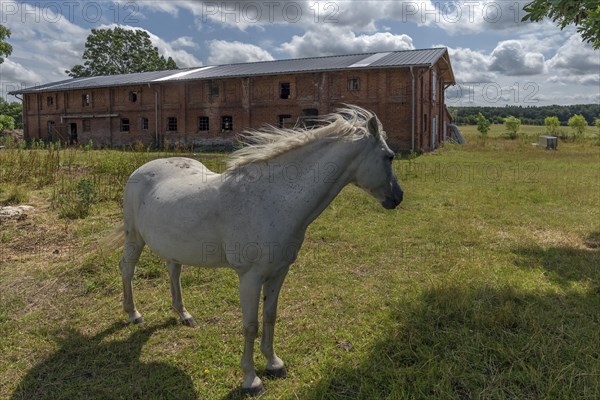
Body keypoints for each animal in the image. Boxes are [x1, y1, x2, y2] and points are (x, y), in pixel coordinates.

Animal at [115, 105, 404, 394]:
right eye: (389, 156)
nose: (398, 197)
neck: (271, 201)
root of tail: (141, 170)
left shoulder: (278, 273)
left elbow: (270, 316)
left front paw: (274, 363)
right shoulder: (250, 278)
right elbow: (250, 326)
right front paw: (251, 379)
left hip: (173, 246)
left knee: (173, 272)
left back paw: (184, 314)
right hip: (135, 238)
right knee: (127, 270)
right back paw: (133, 314)